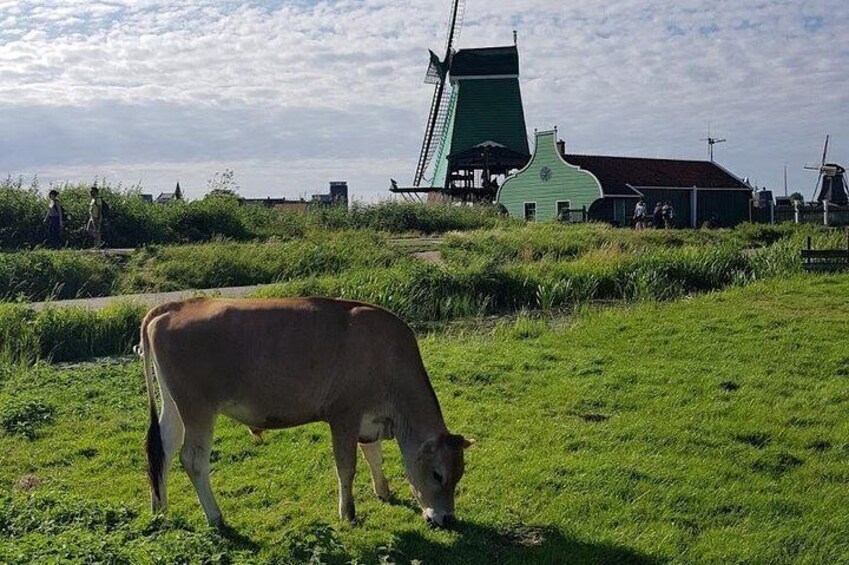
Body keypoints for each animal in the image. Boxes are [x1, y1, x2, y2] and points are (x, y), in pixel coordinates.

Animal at [139, 298, 470, 528]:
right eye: (438, 474)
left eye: (460, 474)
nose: (447, 518)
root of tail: (176, 306)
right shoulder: (344, 415)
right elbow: (346, 467)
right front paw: (348, 513)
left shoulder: (369, 421)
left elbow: (374, 457)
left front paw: (384, 491)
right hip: (198, 407)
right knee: (193, 459)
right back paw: (216, 517)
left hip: (175, 405)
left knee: (164, 448)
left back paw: (160, 509)